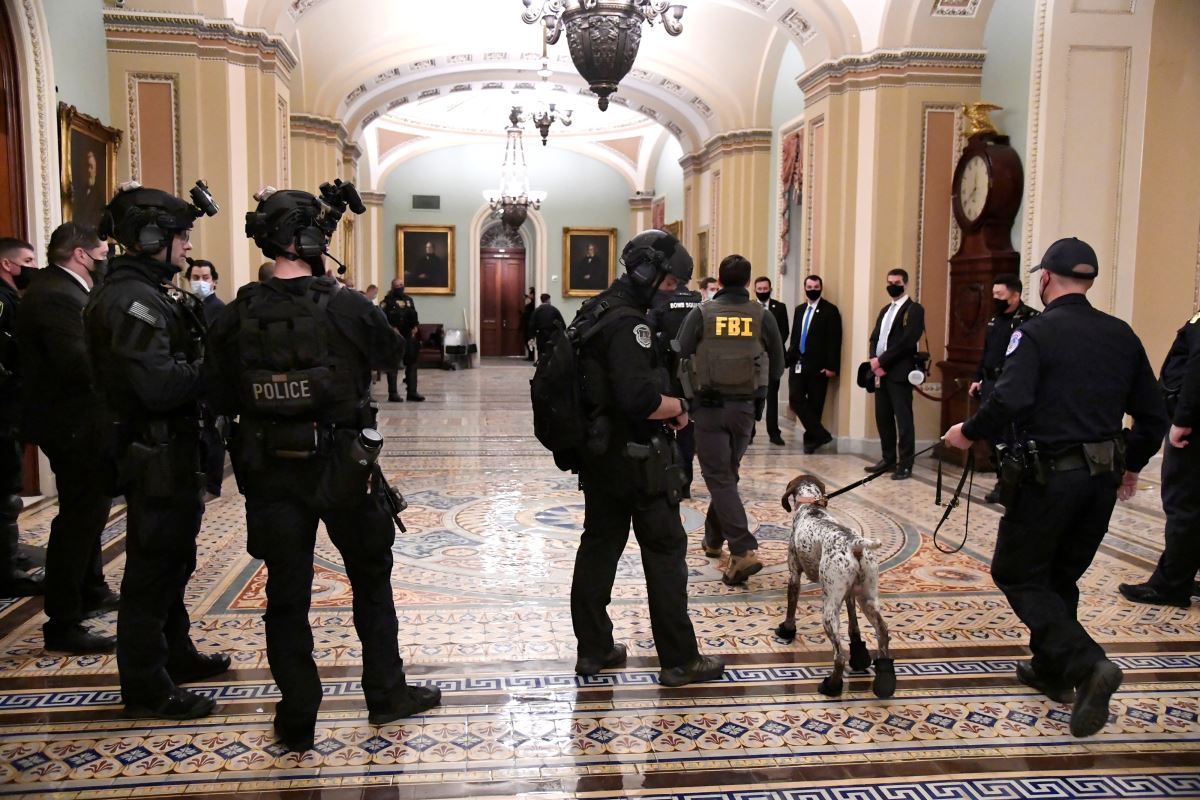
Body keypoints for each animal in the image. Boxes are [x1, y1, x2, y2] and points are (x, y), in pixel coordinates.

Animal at [777, 479, 892, 695]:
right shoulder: (849, 594)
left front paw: (787, 630)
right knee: (883, 632)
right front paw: (860, 654)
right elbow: (854, 626)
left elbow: (790, 608)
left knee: (839, 656)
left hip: (829, 611)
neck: (811, 506)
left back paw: (831, 686)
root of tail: (855, 543)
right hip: (867, 599)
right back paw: (885, 679)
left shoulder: (794, 575)